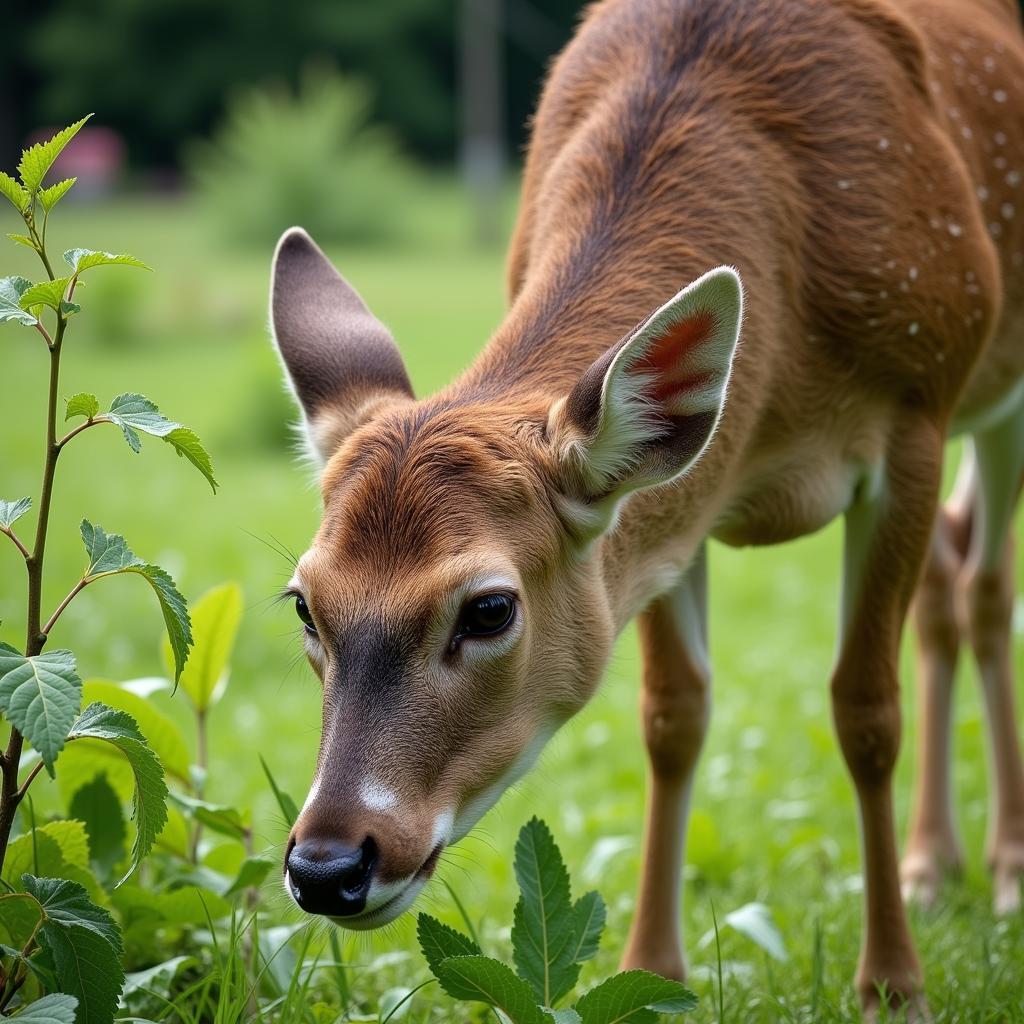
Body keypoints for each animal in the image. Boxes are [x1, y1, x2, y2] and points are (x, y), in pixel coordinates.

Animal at [266, 2, 1024, 1015]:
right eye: (305, 603)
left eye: (489, 608)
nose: (328, 865)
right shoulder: (665, 506)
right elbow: (673, 716)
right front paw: (653, 973)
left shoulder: (915, 414)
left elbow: (866, 712)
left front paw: (895, 989)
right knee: (951, 580)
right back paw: (933, 865)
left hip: (991, 392)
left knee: (985, 587)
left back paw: (1006, 867)